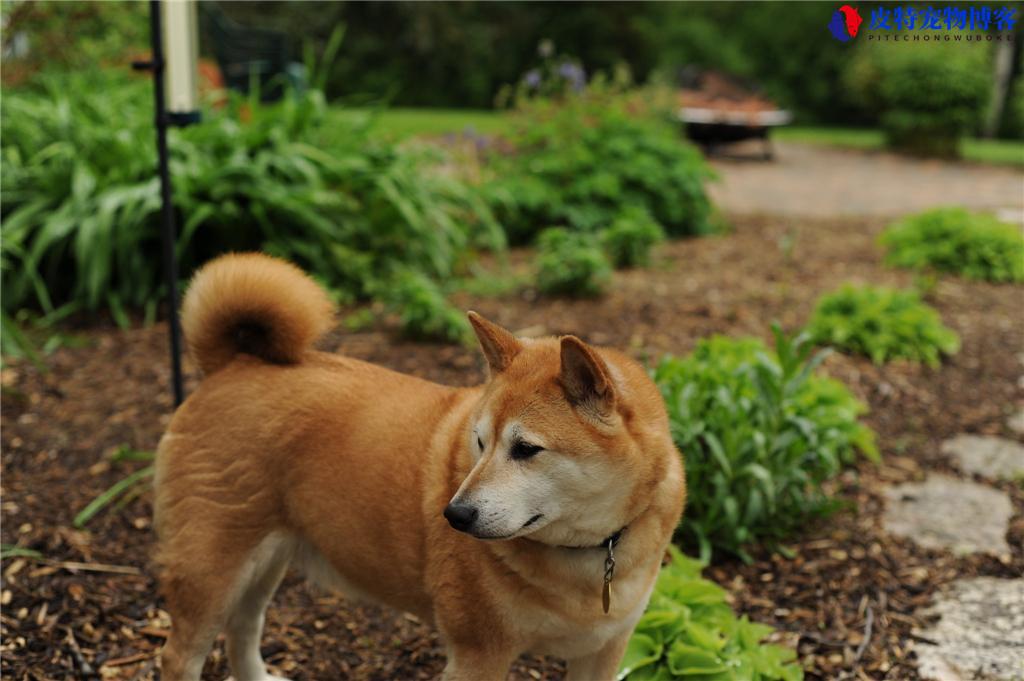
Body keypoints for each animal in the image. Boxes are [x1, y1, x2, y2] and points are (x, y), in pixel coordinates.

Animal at [155, 251, 684, 675]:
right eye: (479, 442)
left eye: (526, 449)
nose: (455, 515)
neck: (588, 556)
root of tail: (233, 365)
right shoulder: (478, 656)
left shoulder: (602, 652)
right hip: (211, 571)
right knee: (180, 656)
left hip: (264, 562)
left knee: (243, 629)